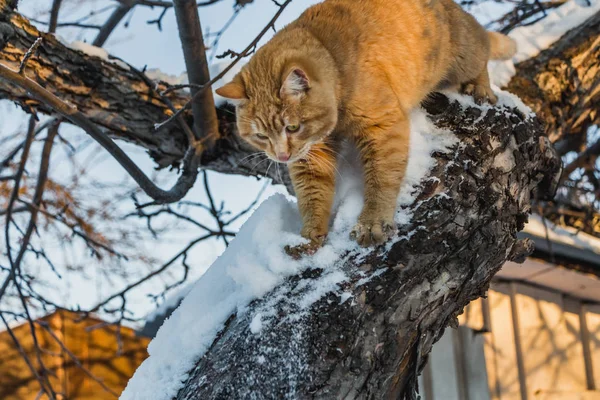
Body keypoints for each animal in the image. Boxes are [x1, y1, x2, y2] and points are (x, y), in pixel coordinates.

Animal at [216, 0, 516, 250]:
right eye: (260, 136)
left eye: (292, 128)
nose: (281, 156)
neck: (335, 63)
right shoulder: (311, 157)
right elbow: (312, 197)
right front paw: (310, 235)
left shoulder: (382, 128)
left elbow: (380, 180)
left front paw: (371, 222)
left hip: (463, 58)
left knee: (482, 54)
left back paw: (481, 88)